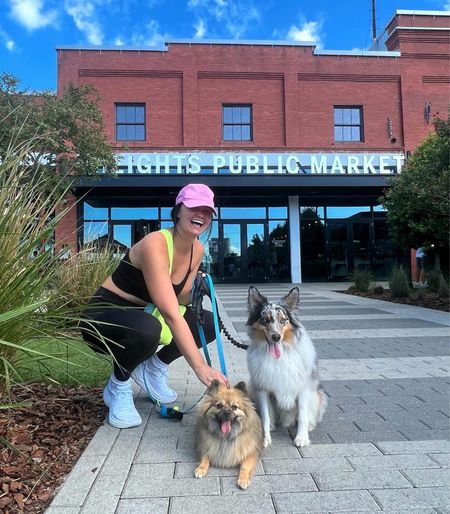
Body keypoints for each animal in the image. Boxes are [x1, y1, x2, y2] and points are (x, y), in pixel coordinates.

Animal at [246, 286, 326, 446]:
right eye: (265, 320)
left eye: (283, 320)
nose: (276, 337)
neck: (280, 354)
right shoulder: (262, 388)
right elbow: (265, 416)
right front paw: (265, 438)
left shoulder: (303, 388)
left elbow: (302, 415)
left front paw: (302, 437)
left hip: (317, 394)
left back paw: (310, 424)